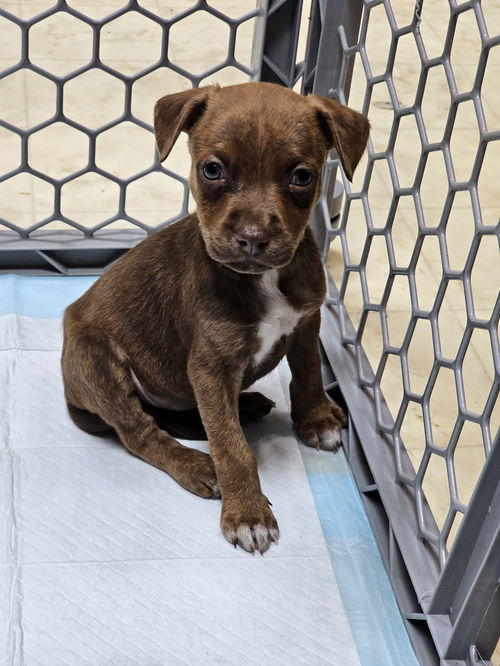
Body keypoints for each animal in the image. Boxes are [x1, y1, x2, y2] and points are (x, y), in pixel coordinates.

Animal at [61, 81, 368, 548]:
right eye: (212, 170)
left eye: (302, 176)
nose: (253, 237)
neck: (262, 279)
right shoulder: (210, 367)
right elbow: (230, 445)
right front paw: (247, 513)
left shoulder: (306, 323)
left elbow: (311, 371)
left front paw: (315, 419)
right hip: (96, 358)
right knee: (140, 433)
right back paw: (194, 464)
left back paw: (245, 406)